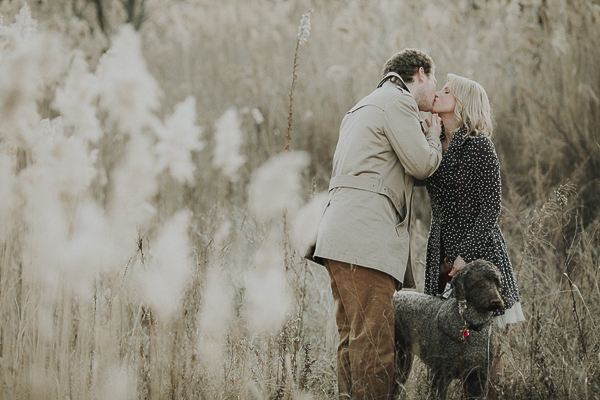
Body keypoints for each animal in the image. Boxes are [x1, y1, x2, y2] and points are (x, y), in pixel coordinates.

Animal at [394, 258, 502, 398]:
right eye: (480, 283)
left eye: (497, 282)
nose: (496, 302)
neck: (471, 326)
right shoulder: (440, 374)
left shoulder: (478, 377)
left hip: (403, 361)